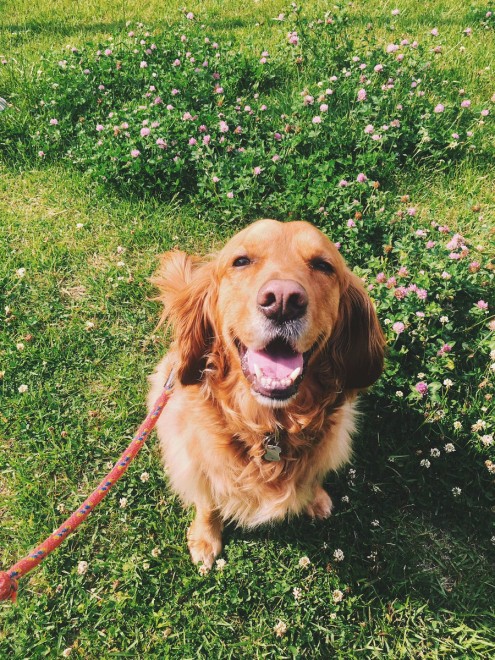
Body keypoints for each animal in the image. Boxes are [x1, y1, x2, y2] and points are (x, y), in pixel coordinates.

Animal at [148, 219, 384, 567]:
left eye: (323, 265)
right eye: (241, 261)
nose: (284, 300)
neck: (271, 427)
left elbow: (314, 475)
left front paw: (315, 498)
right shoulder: (195, 455)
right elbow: (207, 501)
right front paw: (205, 537)